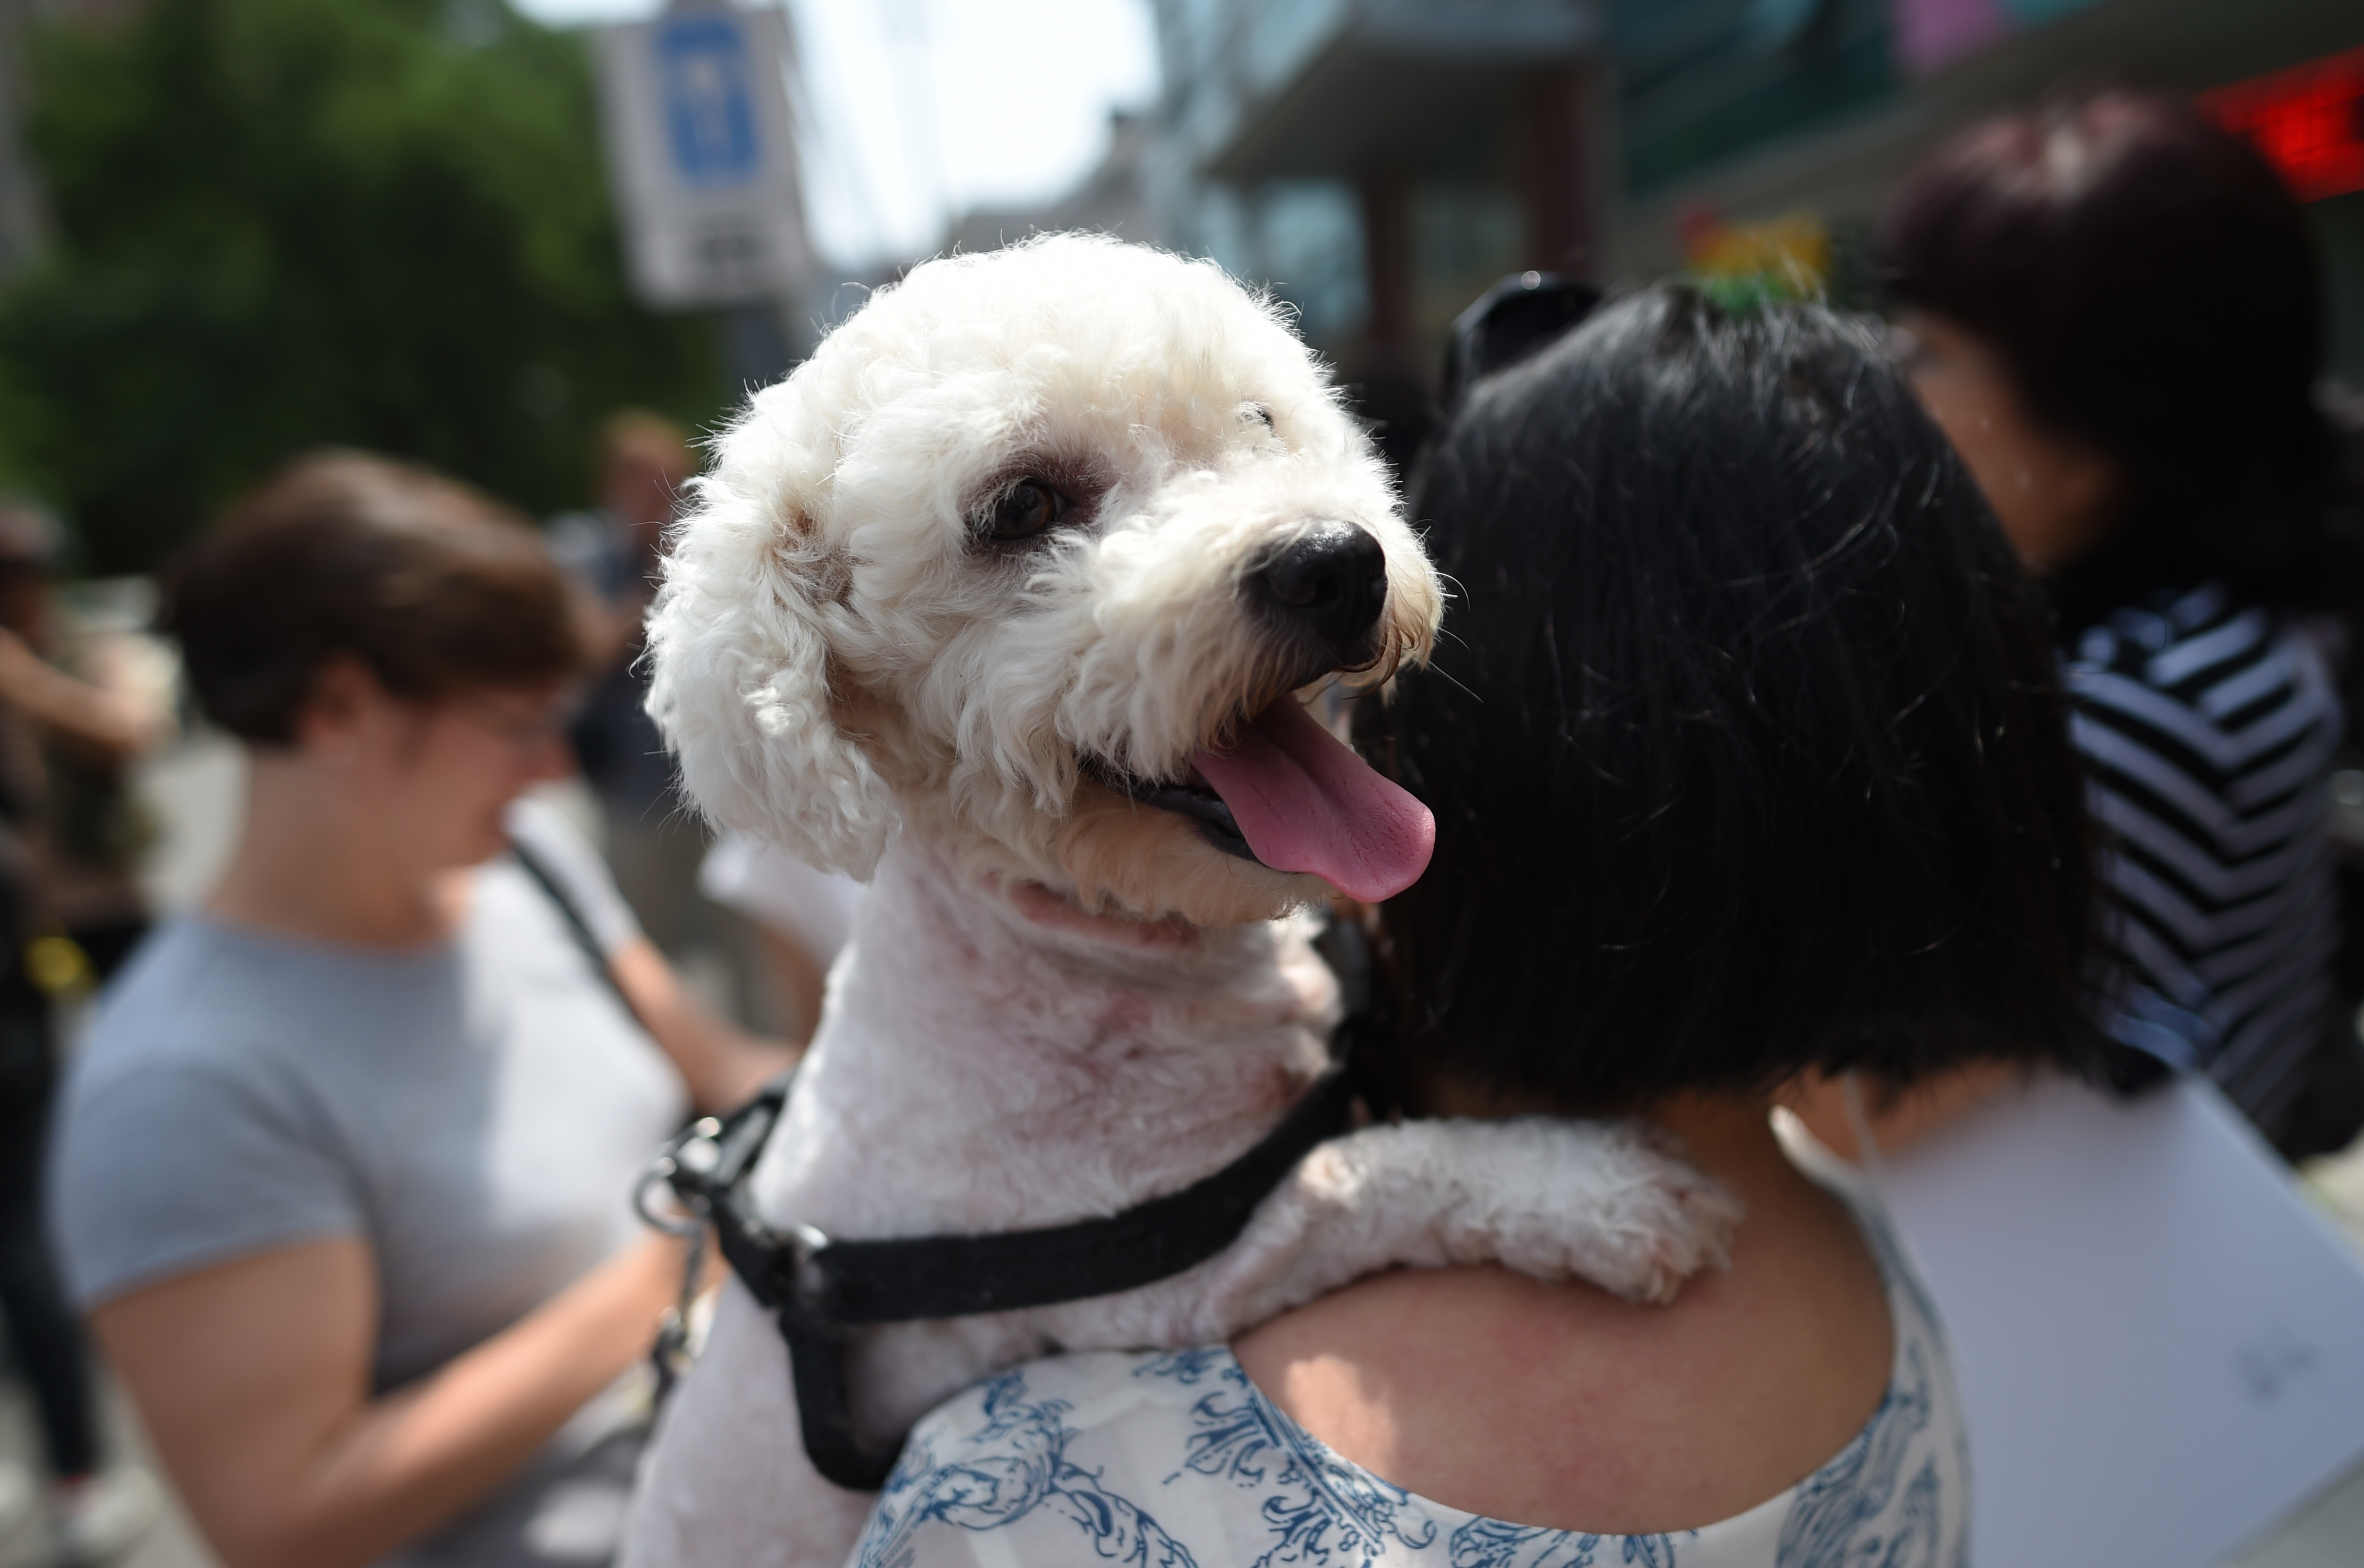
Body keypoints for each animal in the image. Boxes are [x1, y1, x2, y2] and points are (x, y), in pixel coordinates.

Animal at [624, 236, 1739, 1568]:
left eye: (1258, 423)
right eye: (1019, 508)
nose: (1332, 562)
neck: (1078, 964)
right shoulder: (1187, 1279)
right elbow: (1388, 1172)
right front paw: (1585, 1193)